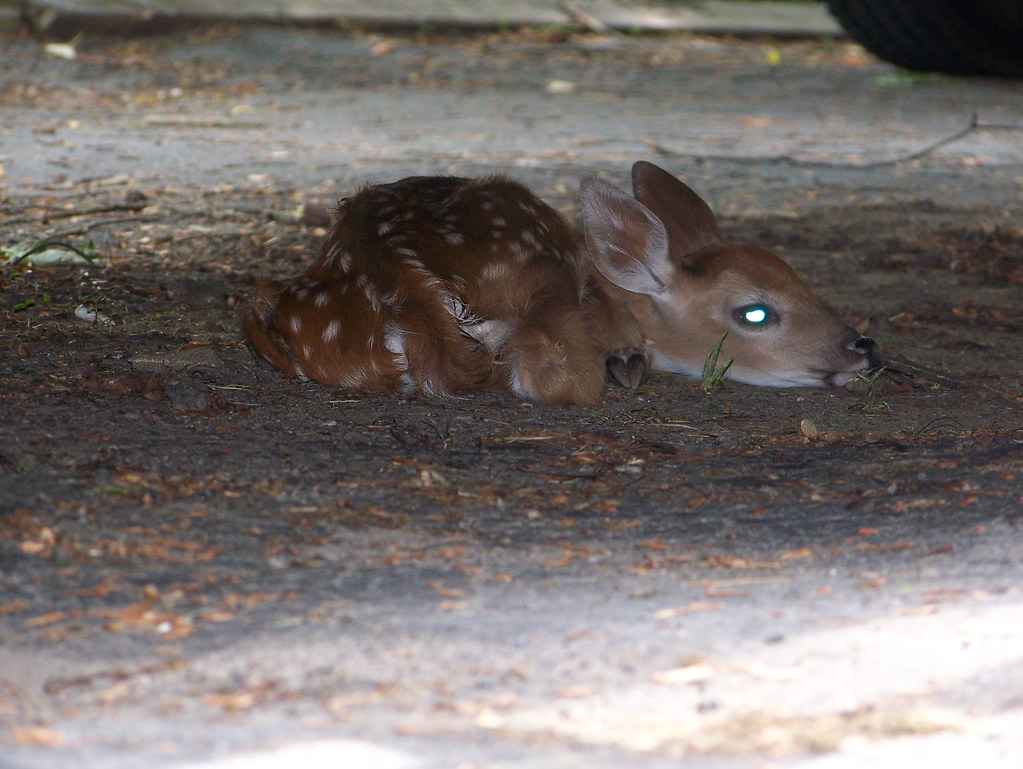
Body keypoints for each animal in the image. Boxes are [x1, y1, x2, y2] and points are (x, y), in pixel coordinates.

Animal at [242, 161, 880, 407]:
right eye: (755, 313)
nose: (864, 347)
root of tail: (394, 265)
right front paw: (626, 356)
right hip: (538, 274)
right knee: (553, 374)